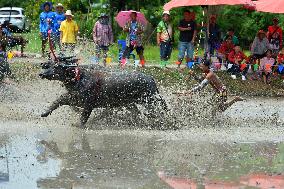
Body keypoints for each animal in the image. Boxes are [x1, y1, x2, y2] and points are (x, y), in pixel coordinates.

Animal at [39, 57, 168, 127]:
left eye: (57, 66)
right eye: (49, 65)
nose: (41, 73)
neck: (79, 79)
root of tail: (151, 79)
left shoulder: (87, 104)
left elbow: (83, 118)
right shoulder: (73, 98)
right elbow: (58, 101)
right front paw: (44, 113)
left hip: (150, 101)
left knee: (159, 112)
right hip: (131, 103)